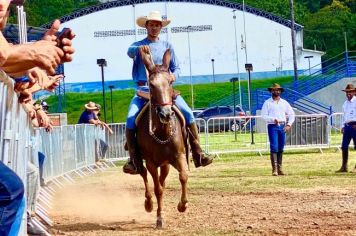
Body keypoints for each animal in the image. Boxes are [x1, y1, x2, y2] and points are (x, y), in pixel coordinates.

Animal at [136, 49, 189, 229]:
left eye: (170, 82)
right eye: (151, 85)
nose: (166, 114)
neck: (162, 133)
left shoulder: (178, 156)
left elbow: (183, 176)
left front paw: (182, 205)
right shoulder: (151, 162)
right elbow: (157, 188)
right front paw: (159, 218)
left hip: (165, 164)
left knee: (161, 181)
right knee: (145, 177)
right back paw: (148, 203)